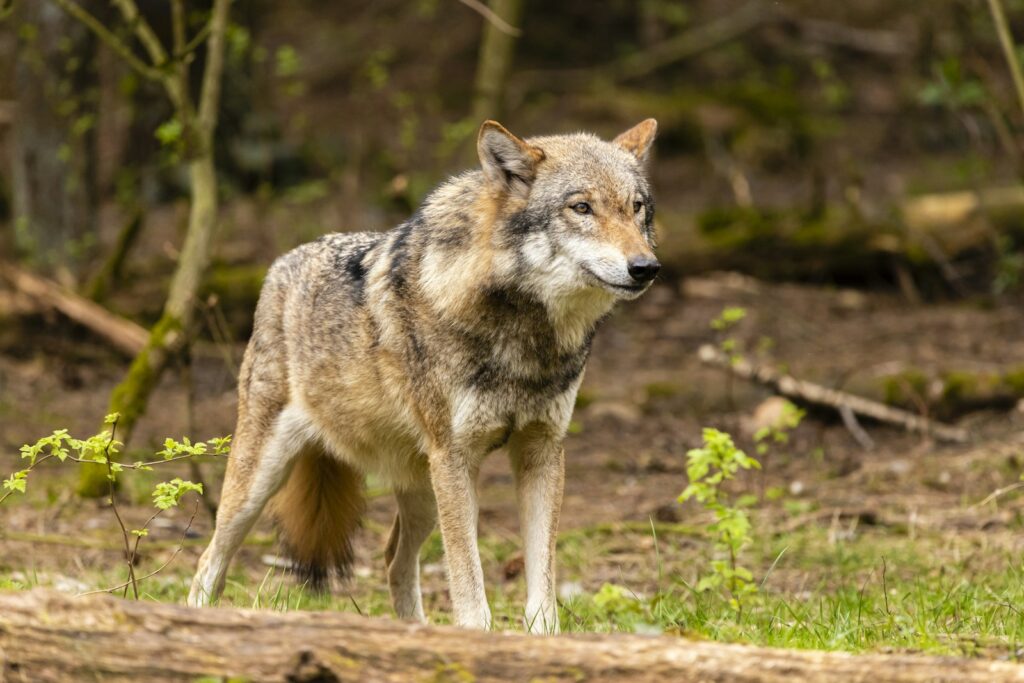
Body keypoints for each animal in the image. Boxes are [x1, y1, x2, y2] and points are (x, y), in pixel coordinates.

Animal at [187, 119, 660, 633]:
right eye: (581, 208)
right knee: (208, 561)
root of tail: (280, 264)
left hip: (424, 490)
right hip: (261, 482)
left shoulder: (542, 451)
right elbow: (470, 591)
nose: (646, 267)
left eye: (636, 207)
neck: (525, 337)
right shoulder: (455, 456)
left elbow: (542, 591)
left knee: (393, 560)